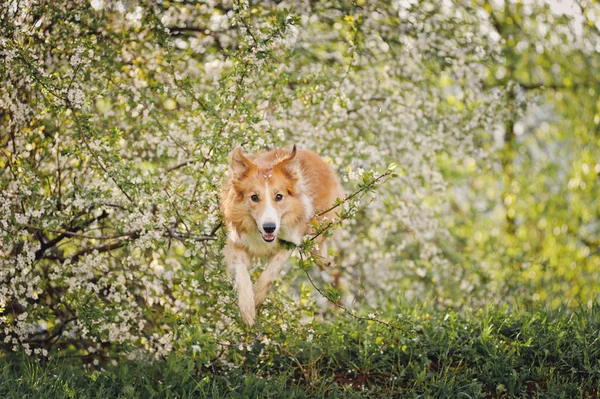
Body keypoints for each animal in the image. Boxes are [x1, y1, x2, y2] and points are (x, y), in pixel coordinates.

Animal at [220, 145, 344, 326]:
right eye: (254, 197)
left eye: (279, 196)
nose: (269, 228)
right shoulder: (237, 241)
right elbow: (242, 273)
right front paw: (248, 308)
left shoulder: (290, 241)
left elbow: (270, 273)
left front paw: (258, 297)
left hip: (321, 219)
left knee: (321, 237)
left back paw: (322, 259)